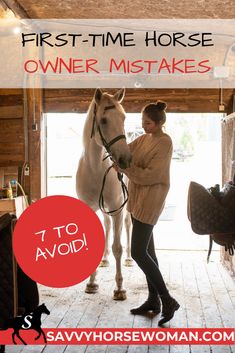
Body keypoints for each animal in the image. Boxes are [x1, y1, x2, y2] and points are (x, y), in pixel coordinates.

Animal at [76, 88, 132, 300]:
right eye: (104, 120)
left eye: (123, 118)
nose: (126, 159)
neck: (95, 169)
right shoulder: (92, 209)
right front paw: (92, 283)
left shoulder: (118, 209)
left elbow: (118, 247)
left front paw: (119, 288)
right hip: (105, 209)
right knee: (107, 225)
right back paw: (105, 259)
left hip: (125, 209)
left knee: (127, 226)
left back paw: (129, 258)